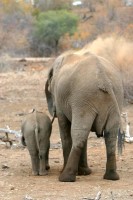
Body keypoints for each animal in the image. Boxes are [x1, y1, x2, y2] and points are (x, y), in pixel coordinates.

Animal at [44, 50, 123, 182]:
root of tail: (103, 79)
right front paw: (85, 173)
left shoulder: (61, 100)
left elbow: (65, 130)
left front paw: (80, 172)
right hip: (113, 100)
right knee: (110, 134)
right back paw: (112, 177)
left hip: (83, 100)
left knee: (79, 133)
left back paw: (65, 177)